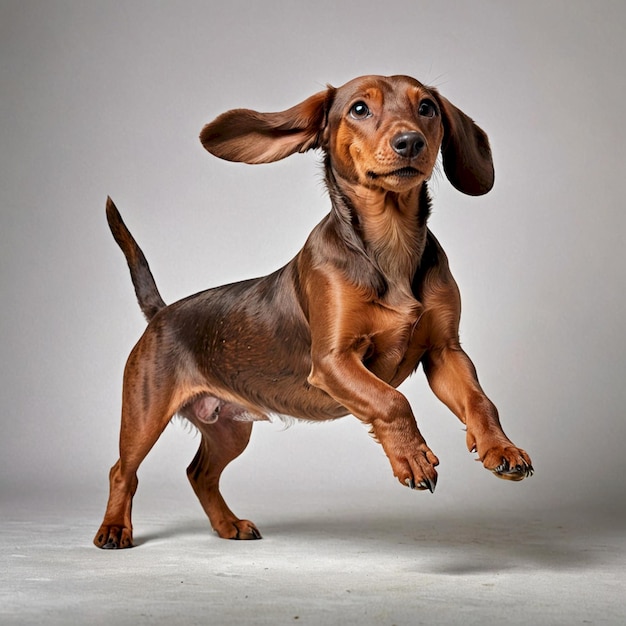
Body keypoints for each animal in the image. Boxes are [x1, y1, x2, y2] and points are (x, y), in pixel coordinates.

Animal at [94, 75, 532, 548]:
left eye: (427, 108)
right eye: (359, 109)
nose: (410, 142)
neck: (391, 241)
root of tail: (161, 313)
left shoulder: (445, 352)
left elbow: (480, 401)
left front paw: (501, 448)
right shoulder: (333, 360)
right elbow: (391, 400)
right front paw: (412, 456)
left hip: (229, 428)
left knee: (199, 473)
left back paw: (228, 525)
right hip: (144, 415)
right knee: (122, 471)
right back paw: (114, 529)